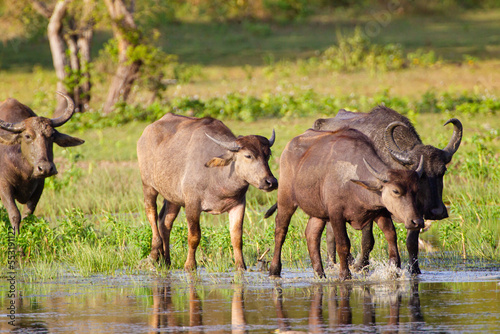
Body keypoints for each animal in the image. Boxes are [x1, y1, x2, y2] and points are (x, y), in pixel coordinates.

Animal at [0, 91, 85, 235]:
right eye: (27, 136)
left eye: (52, 135)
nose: (45, 168)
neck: (23, 171)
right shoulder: (4, 186)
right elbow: (14, 214)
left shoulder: (40, 186)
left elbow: (27, 215)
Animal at [137, 113, 278, 270]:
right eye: (248, 155)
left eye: (268, 155)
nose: (271, 182)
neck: (217, 177)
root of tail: (147, 131)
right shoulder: (192, 205)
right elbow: (194, 236)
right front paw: (190, 265)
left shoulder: (239, 205)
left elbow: (236, 237)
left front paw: (240, 265)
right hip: (148, 186)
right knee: (151, 213)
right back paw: (155, 253)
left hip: (173, 197)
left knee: (165, 222)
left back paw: (166, 260)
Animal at [268, 128, 424, 280]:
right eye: (396, 191)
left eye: (416, 190)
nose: (417, 222)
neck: (352, 181)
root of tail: (288, 147)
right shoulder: (336, 214)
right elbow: (343, 244)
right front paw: (345, 274)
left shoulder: (380, 212)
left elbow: (391, 235)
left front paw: (394, 267)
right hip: (285, 199)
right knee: (280, 230)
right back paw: (274, 270)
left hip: (318, 211)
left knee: (312, 234)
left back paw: (319, 273)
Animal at [312, 107, 460, 274]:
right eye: (421, 175)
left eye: (442, 171)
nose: (437, 212)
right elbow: (368, 239)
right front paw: (361, 266)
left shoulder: (415, 212)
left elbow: (411, 241)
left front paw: (414, 270)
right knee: (331, 233)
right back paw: (332, 264)